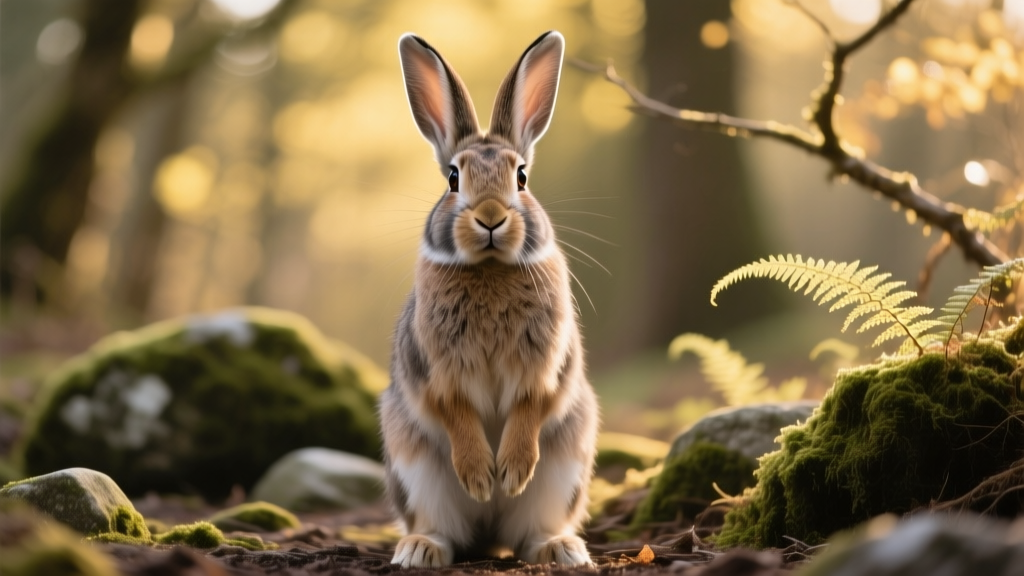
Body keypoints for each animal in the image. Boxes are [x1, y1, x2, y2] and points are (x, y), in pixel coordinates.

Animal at [378, 31, 599, 568]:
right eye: (453, 179)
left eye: (521, 177)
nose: (492, 217)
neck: (491, 270)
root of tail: (489, 536)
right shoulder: (436, 373)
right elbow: (455, 413)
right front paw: (481, 477)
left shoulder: (547, 369)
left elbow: (532, 405)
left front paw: (512, 472)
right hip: (414, 467)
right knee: (441, 528)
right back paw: (420, 548)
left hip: (564, 470)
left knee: (531, 532)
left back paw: (560, 548)